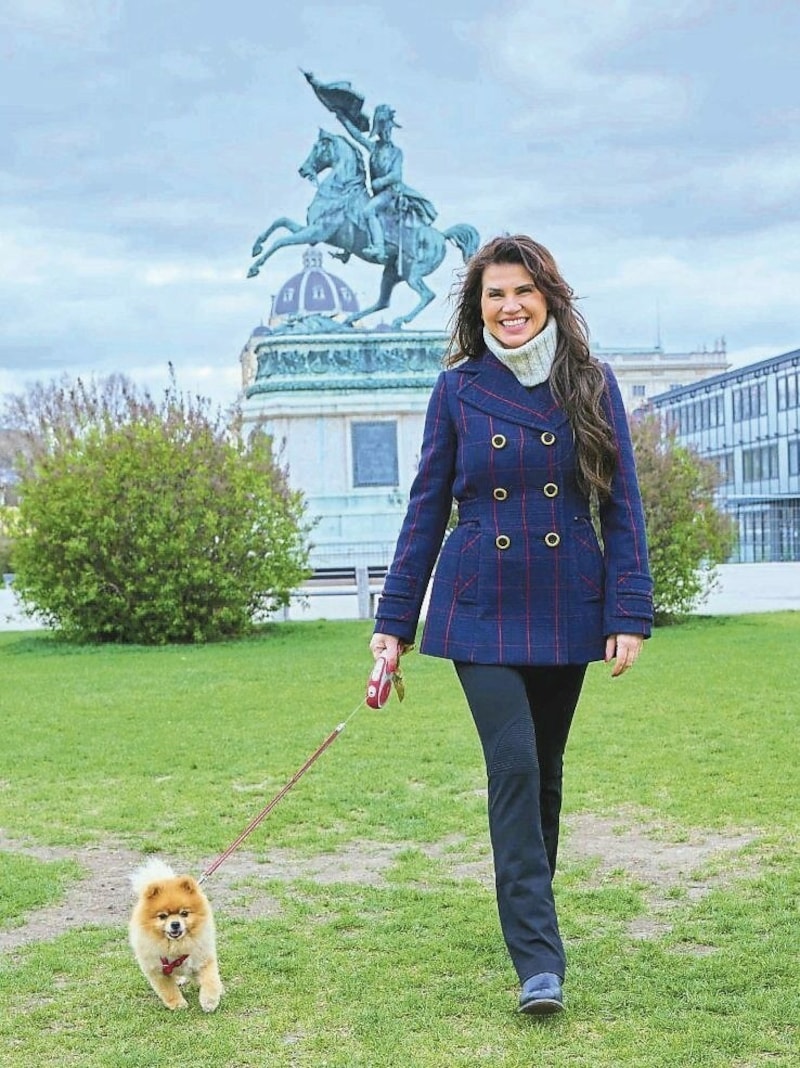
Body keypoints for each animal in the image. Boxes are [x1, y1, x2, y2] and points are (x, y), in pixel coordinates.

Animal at [128, 854, 223, 1012]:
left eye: (184, 913)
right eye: (162, 916)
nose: (175, 924)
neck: (176, 946)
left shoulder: (202, 958)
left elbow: (210, 980)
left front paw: (209, 1001)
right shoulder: (157, 970)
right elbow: (169, 990)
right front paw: (178, 1004)